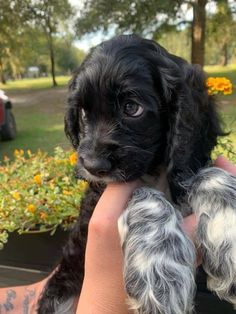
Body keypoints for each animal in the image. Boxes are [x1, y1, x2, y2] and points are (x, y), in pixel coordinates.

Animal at [37, 35, 236, 314]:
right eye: (83, 113)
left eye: (132, 108)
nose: (92, 165)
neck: (155, 173)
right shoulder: (101, 196)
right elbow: (142, 193)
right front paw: (161, 276)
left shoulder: (185, 162)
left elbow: (207, 174)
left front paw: (229, 237)